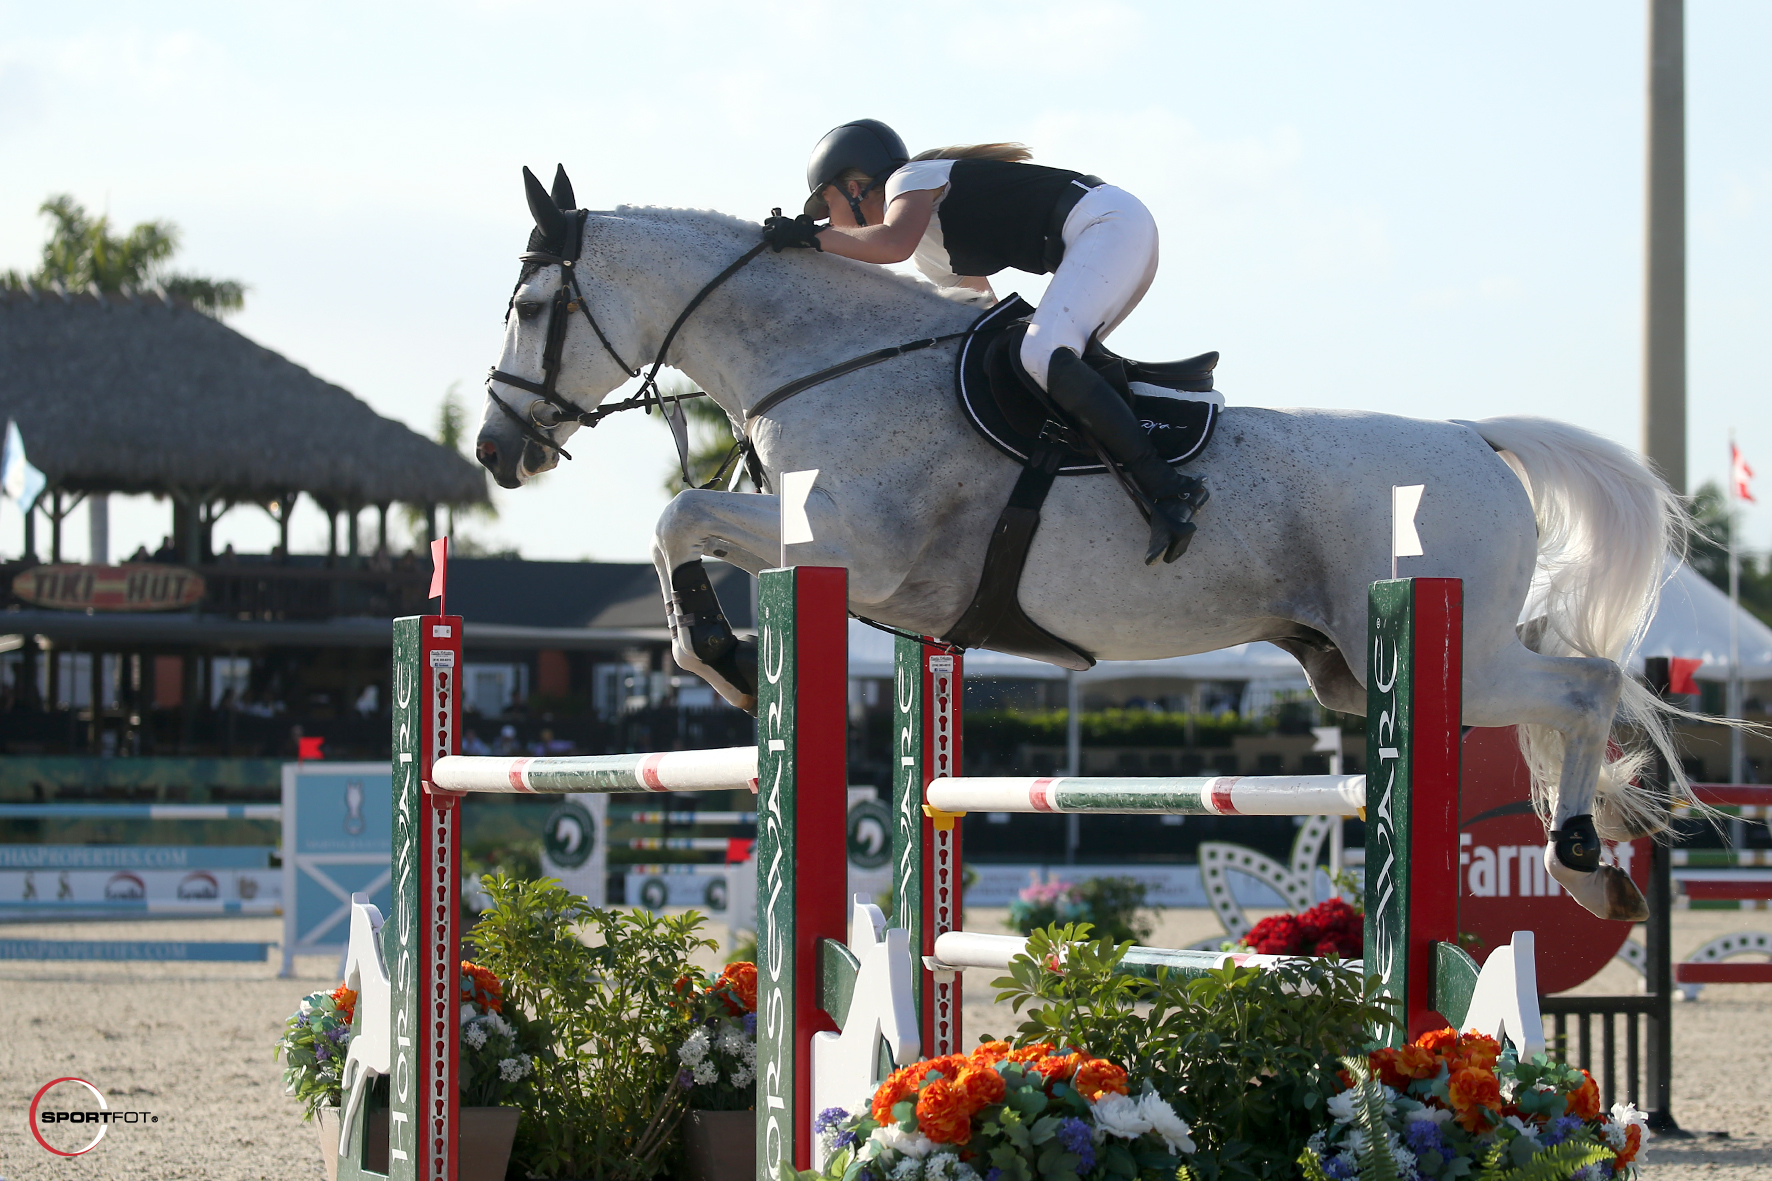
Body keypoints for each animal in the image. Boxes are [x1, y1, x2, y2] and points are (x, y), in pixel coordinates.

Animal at [474, 170, 1686, 922]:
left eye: (530, 304)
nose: (494, 448)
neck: (828, 358)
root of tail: (1475, 437)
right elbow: (677, 524)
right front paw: (716, 650)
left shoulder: (849, 548)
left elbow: (677, 516)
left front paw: (720, 656)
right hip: (1354, 669)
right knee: (1566, 693)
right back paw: (1591, 869)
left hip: (1446, 652)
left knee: (1585, 686)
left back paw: (1583, 860)